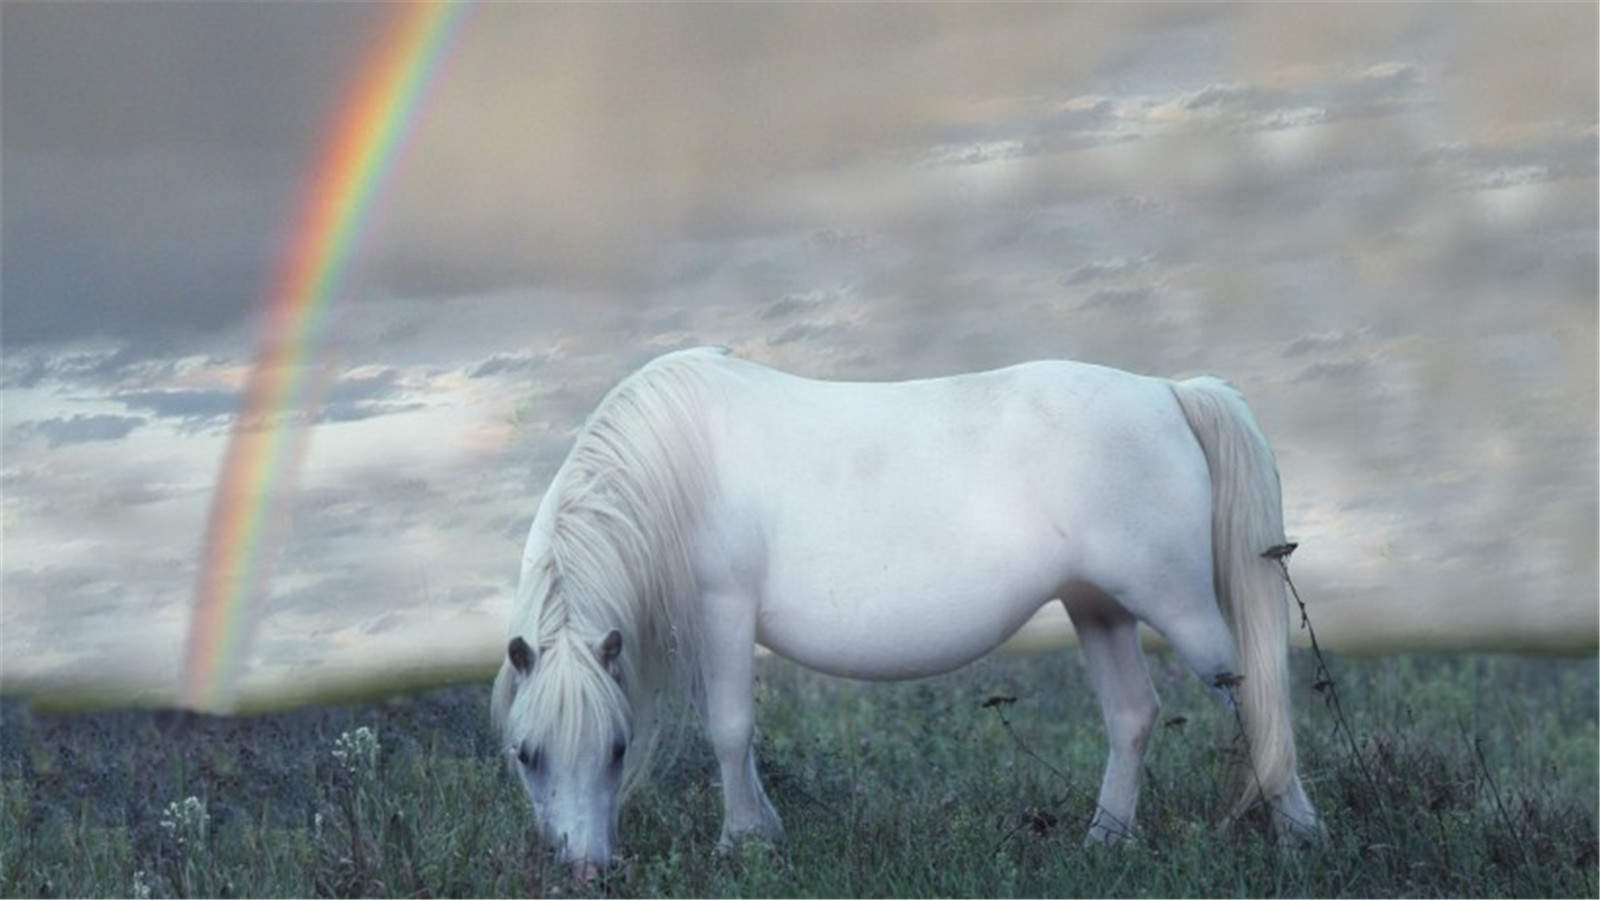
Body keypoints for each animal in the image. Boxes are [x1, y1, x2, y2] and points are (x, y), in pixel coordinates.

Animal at [491, 346, 1321, 876]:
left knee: (1252, 694)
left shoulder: (724, 609)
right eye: (525, 755)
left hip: (1173, 601)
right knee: (1133, 715)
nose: (586, 870)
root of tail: (1169, 390)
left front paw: (743, 844)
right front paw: (764, 830)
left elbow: (729, 731)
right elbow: (739, 739)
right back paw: (1104, 842)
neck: (674, 462)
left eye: (618, 748)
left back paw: (1300, 834)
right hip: (1097, 606)